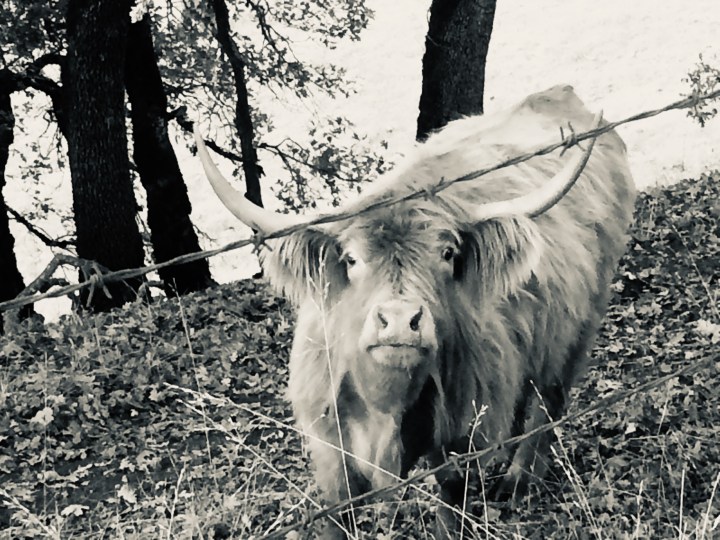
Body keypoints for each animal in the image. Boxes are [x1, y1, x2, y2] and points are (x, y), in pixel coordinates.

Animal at [194, 84, 636, 538]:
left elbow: (451, 501)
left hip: (580, 326)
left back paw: (518, 479)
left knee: (549, 400)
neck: (386, 403)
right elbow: (337, 512)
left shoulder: (459, 434)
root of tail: (558, 94)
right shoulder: (330, 445)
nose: (400, 322)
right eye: (351, 259)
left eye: (447, 254)